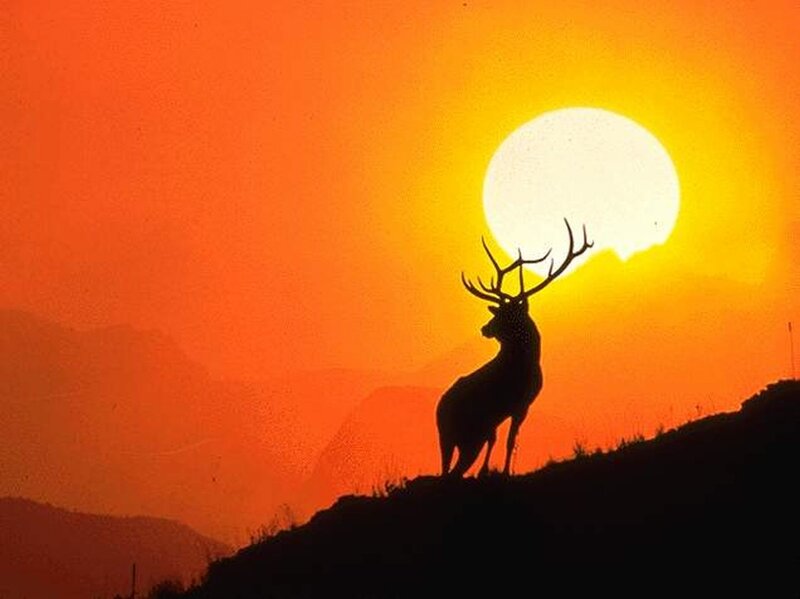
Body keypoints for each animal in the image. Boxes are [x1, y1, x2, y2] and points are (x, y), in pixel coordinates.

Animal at [436, 218, 593, 477]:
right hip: (469, 436)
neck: (527, 360)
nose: (485, 328)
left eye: (506, 314)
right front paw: (504, 472)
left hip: (448, 441)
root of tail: (440, 412)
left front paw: (491, 471)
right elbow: (510, 440)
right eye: (499, 313)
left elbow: (505, 440)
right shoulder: (522, 404)